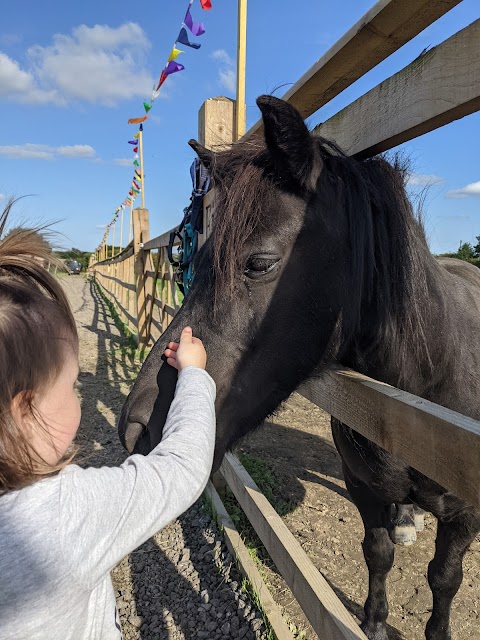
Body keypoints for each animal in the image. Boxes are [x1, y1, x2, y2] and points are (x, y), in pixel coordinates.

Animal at [119, 96, 480, 640]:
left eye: (260, 263)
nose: (135, 428)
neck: (420, 406)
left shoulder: (463, 516)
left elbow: (444, 579)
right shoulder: (362, 488)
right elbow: (377, 553)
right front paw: (374, 623)